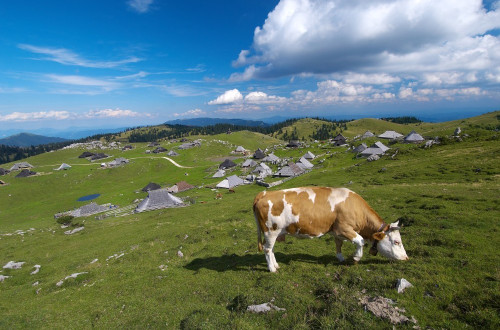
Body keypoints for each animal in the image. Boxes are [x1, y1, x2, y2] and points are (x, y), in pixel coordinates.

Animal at [252, 187, 408, 272]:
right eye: (396, 242)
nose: (406, 258)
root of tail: (265, 193)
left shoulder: (336, 232)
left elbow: (339, 244)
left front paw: (340, 258)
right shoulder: (344, 228)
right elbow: (360, 241)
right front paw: (356, 257)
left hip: (275, 232)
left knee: (270, 249)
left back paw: (276, 265)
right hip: (270, 231)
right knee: (267, 249)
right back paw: (272, 269)